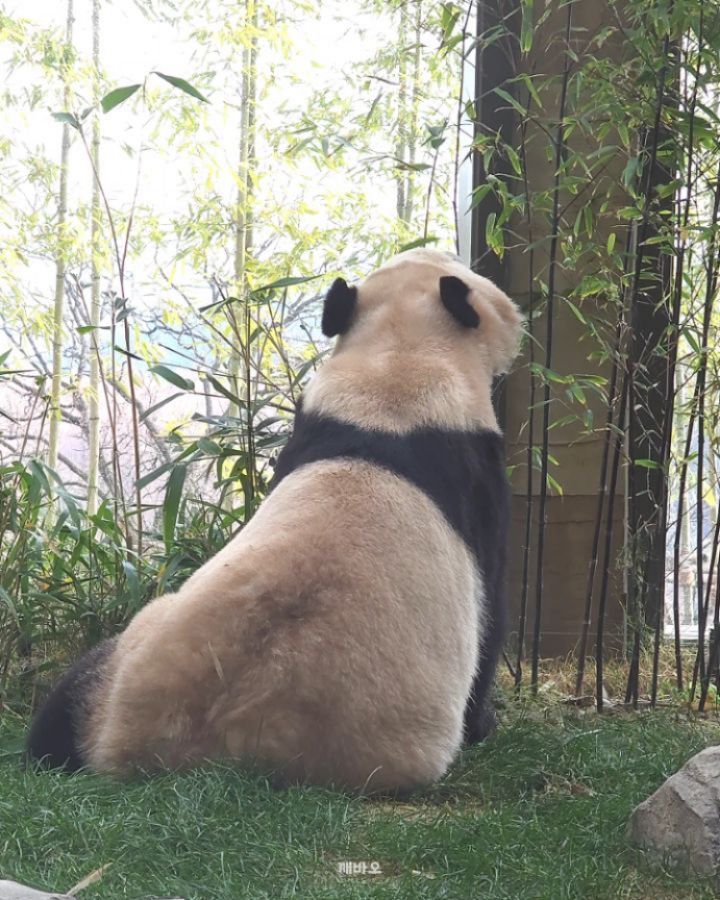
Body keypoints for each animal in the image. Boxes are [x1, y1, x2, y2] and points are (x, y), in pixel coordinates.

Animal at [27, 248, 522, 792]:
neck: (398, 363)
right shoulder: (476, 476)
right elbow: (491, 613)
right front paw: (485, 721)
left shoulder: (305, 433)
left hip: (118, 668)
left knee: (63, 707)